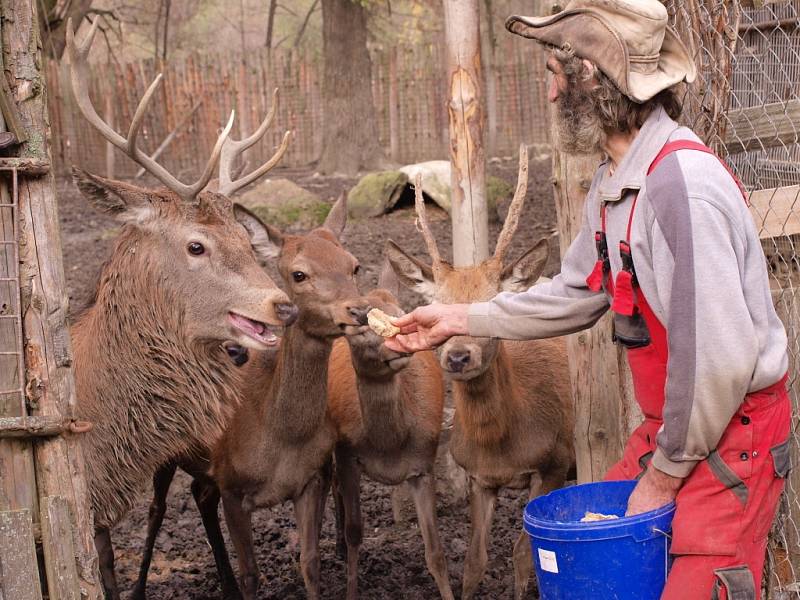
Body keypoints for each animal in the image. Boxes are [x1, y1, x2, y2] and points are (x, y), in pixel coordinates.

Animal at [324, 264, 450, 600]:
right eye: (359, 327)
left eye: (402, 313)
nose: (402, 344)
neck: (388, 445)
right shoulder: (347, 454)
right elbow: (355, 533)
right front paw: (350, 591)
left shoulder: (424, 463)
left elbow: (435, 551)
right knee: (332, 484)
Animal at [388, 151, 576, 600]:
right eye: (432, 308)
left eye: (493, 305)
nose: (459, 356)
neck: (504, 446)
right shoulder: (479, 476)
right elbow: (475, 561)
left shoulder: (555, 461)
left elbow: (525, 555)